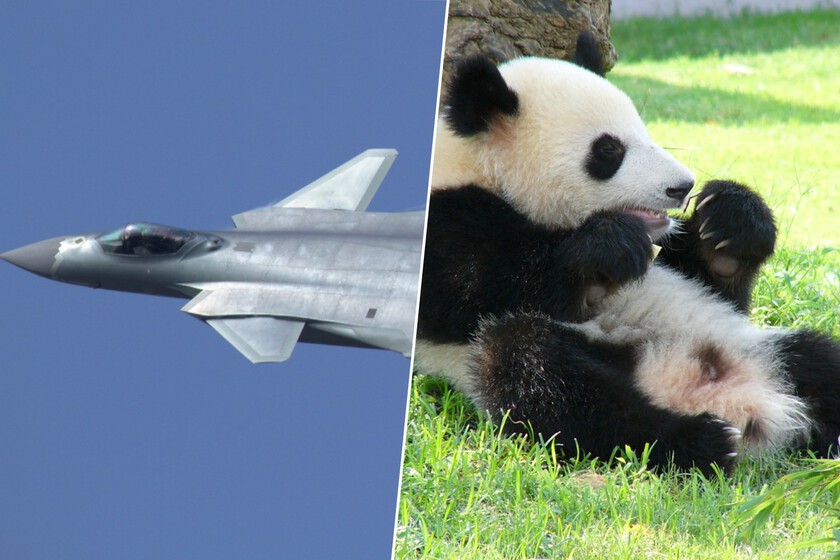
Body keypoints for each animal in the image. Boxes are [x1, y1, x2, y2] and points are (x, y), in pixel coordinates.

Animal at [414, 33, 840, 475]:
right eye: (608, 150)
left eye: (645, 130)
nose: (682, 186)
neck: (482, 168)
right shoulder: (444, 218)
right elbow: (472, 282)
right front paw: (608, 251)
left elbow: (714, 283)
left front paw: (730, 218)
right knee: (545, 379)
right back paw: (697, 441)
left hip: (756, 346)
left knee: (819, 361)